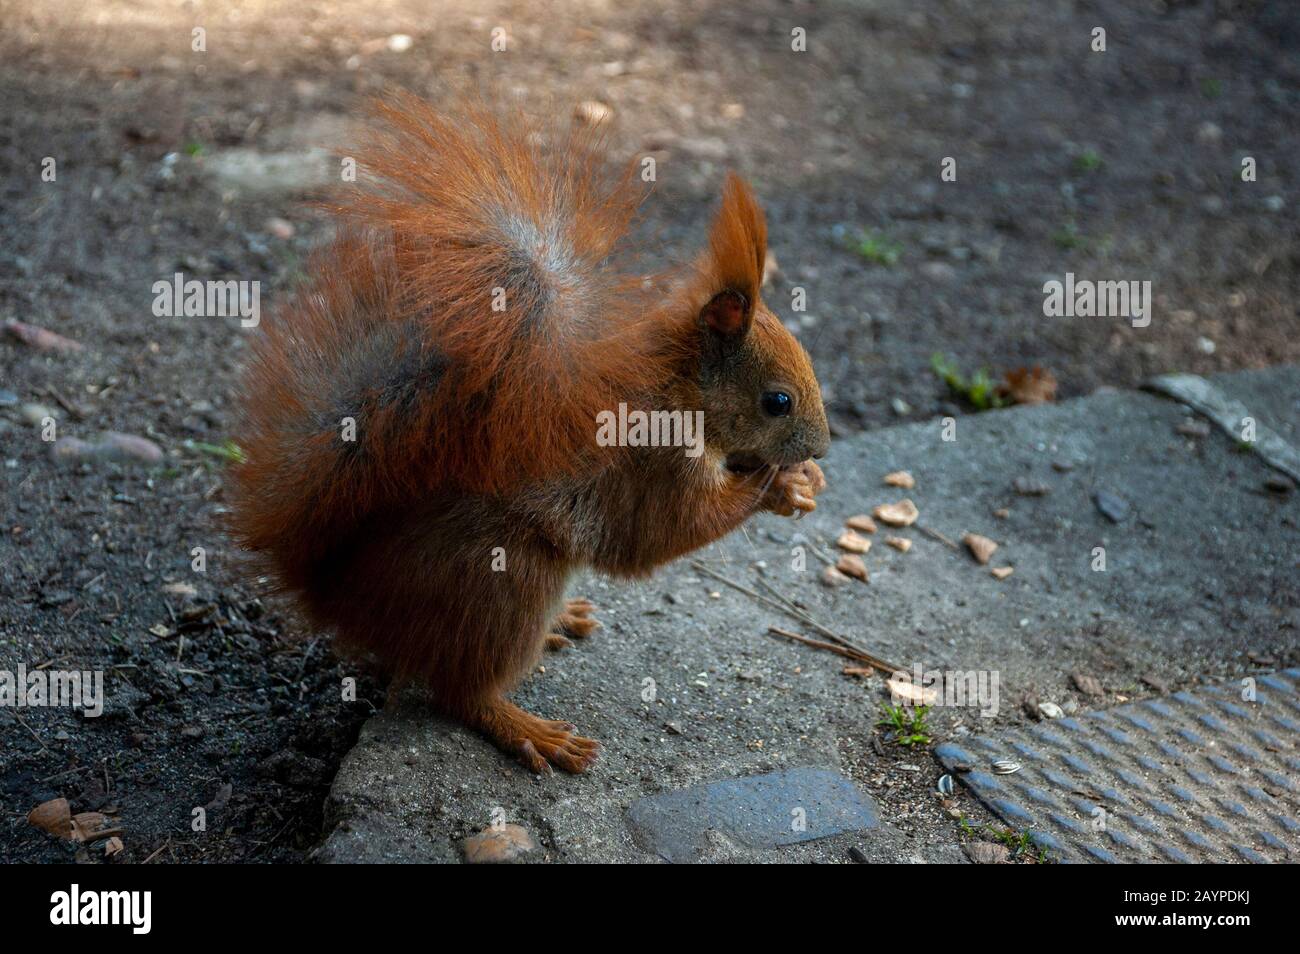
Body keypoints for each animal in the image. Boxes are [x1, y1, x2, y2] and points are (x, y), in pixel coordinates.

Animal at [229, 92, 830, 774]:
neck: (683, 390)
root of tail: (338, 594)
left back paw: (561, 623)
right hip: (502, 576)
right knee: (458, 691)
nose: (820, 446)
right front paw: (776, 486)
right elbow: (661, 532)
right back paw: (525, 727)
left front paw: (805, 480)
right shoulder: (652, 460)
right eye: (777, 401)